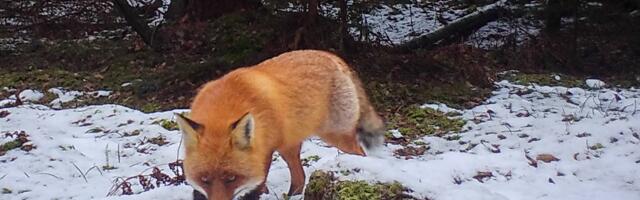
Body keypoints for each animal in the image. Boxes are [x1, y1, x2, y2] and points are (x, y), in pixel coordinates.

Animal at [176, 50, 384, 200]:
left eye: (231, 179)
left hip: (337, 136)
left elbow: (256, 186)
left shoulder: (264, 153)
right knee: (300, 178)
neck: (225, 106)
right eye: (205, 179)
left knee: (360, 153)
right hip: (288, 147)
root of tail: (332, 56)